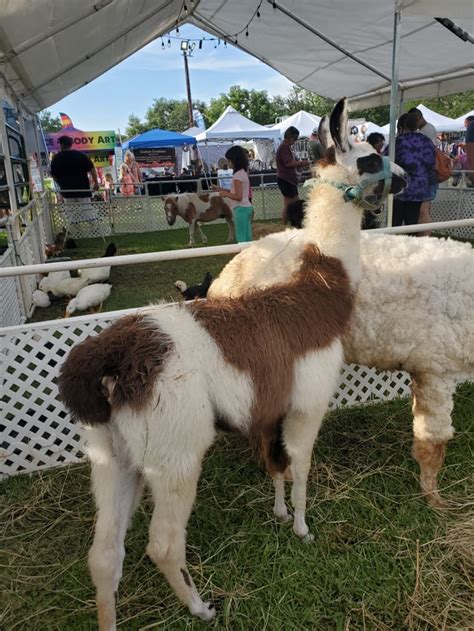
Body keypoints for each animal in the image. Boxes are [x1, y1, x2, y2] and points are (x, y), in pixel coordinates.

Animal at [58, 99, 408, 628]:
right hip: (175, 448)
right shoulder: (307, 401)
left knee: (103, 555)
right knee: (162, 545)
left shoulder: (270, 404)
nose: (406, 177)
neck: (319, 291)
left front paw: (280, 514)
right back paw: (201, 607)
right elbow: (301, 464)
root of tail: (112, 357)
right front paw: (302, 527)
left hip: (111, 455)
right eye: (370, 156)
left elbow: (276, 463)